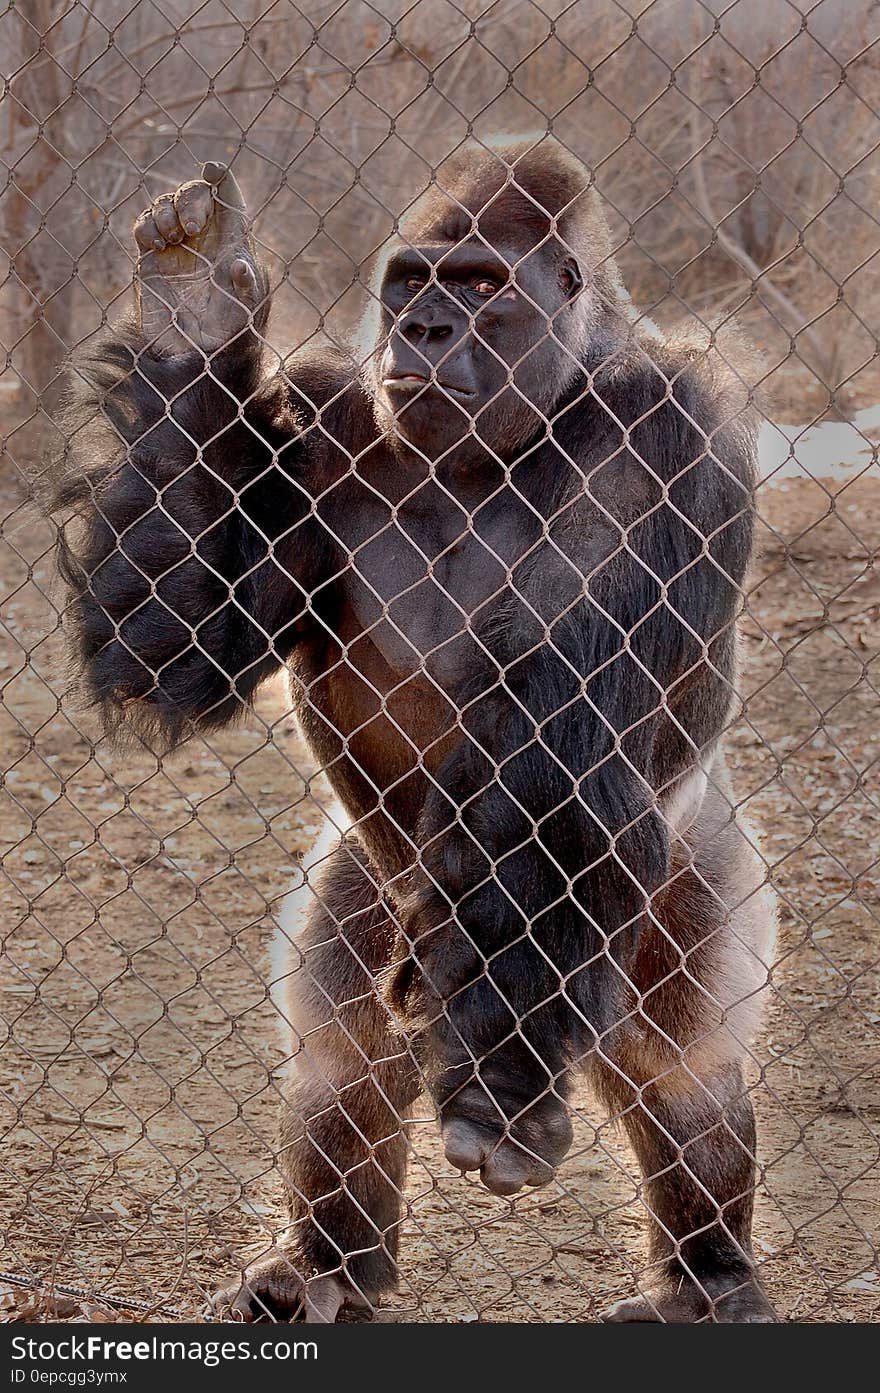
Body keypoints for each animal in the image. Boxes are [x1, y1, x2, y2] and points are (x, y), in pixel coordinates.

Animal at [51, 141, 774, 1326]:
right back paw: (326, 1269)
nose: (426, 329)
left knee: (682, 1063)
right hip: (378, 893)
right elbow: (181, 645)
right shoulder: (321, 416)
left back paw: (707, 1278)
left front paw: (502, 1088)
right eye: (414, 282)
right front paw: (192, 318)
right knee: (345, 1052)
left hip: (689, 872)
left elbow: (555, 744)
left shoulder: (665, 430)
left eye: (479, 286)